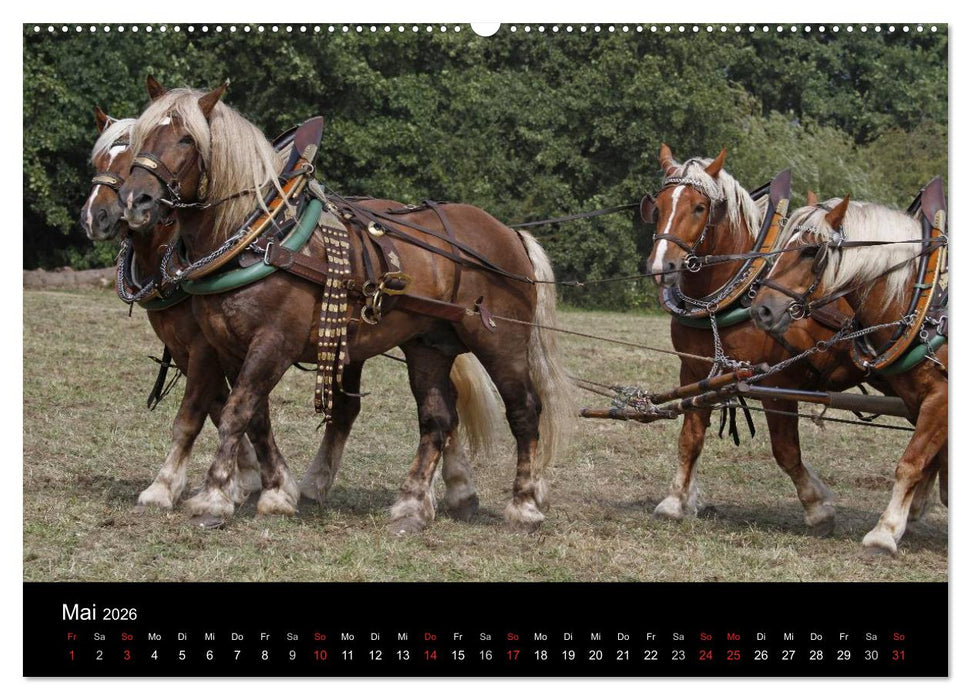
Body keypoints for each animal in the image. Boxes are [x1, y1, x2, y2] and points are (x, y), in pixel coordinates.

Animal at [118, 83, 574, 533]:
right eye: (141, 136)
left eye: (187, 139)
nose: (135, 201)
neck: (259, 236)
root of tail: (510, 233)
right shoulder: (220, 346)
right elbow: (233, 415)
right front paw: (270, 492)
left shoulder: (273, 342)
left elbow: (236, 412)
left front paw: (213, 498)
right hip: (429, 345)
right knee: (438, 417)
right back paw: (411, 506)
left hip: (501, 341)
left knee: (524, 410)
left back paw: (523, 505)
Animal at [640, 144, 872, 536]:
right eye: (658, 206)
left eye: (698, 207)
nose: (661, 267)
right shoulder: (696, 372)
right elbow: (690, 437)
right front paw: (675, 500)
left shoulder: (778, 383)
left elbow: (785, 450)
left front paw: (818, 506)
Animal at [750, 193, 947, 554]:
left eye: (811, 251)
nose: (762, 309)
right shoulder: (917, 395)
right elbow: (926, 460)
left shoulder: (941, 395)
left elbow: (910, 463)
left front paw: (884, 532)